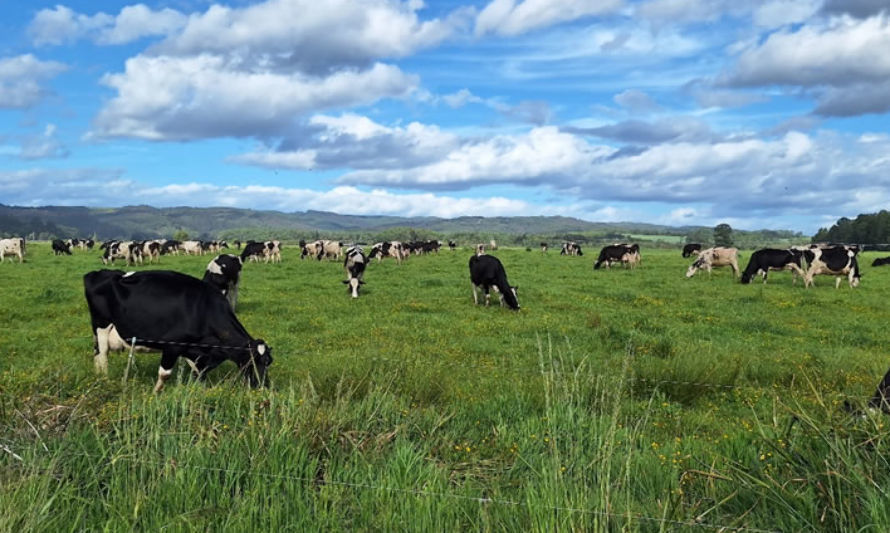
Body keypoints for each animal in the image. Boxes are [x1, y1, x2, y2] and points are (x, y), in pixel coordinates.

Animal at [83, 270, 270, 390]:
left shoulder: (196, 352)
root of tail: (98, 273)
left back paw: (98, 376)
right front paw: (156, 393)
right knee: (103, 355)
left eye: (269, 362)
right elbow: (165, 374)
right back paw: (105, 380)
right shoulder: (172, 346)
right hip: (101, 325)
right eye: (260, 362)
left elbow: (199, 372)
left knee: (96, 352)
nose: (264, 386)